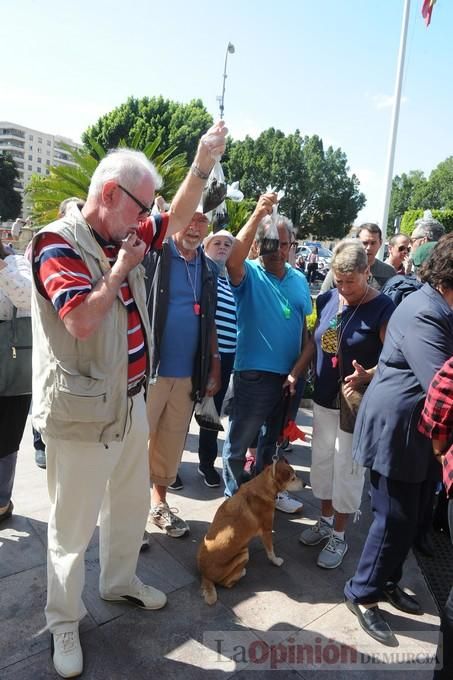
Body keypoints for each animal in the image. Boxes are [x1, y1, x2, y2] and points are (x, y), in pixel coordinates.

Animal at [198, 460, 304, 604]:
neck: (263, 485)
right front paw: (276, 561)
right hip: (243, 554)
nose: (305, 484)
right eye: (293, 478)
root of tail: (205, 576)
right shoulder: (267, 530)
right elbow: (271, 551)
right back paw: (241, 572)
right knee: (227, 584)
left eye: (295, 474)